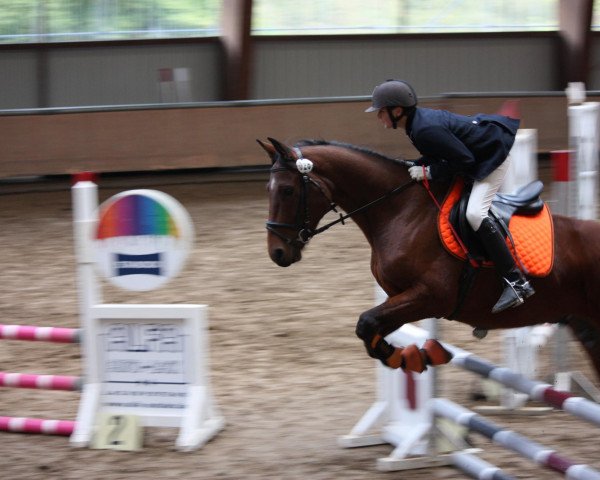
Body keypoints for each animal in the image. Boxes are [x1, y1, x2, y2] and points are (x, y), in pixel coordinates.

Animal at [258, 136, 600, 378]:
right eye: (268, 189)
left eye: (287, 190)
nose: (277, 252)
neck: (400, 210)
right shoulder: (400, 297)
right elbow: (370, 329)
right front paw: (413, 356)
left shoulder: (432, 296)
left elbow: (366, 322)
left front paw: (417, 356)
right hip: (586, 327)